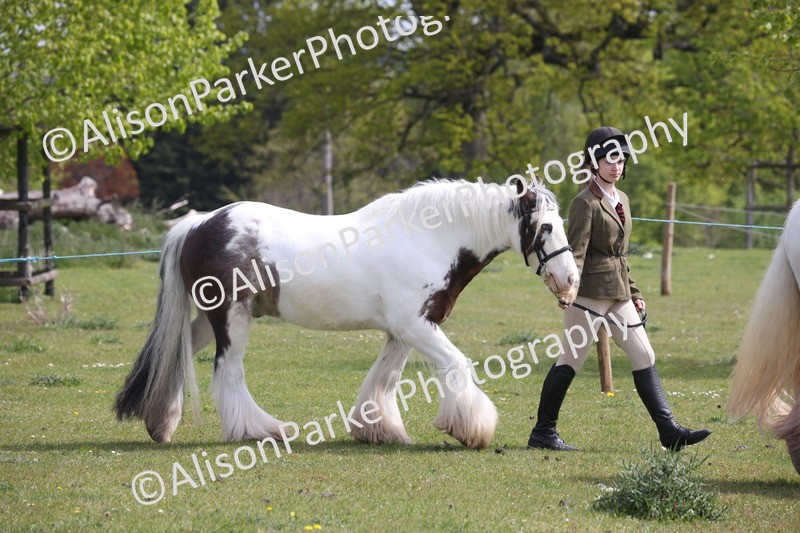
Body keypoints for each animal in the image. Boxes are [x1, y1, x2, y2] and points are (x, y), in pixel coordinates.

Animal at [115, 178, 579, 449]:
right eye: (547, 226)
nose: (570, 280)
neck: (427, 238)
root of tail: (196, 224)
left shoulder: (403, 330)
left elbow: (384, 379)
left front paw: (377, 429)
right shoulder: (416, 326)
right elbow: (457, 365)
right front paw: (471, 428)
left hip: (210, 320)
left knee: (178, 354)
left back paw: (161, 423)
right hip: (232, 317)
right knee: (229, 373)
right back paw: (260, 430)